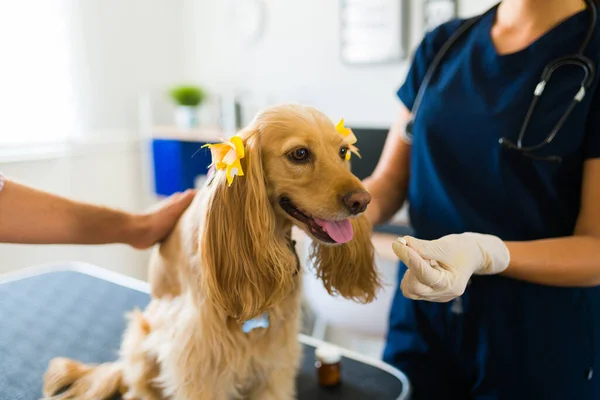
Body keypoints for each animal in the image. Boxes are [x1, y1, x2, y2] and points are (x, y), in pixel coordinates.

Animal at [42, 104, 380, 400]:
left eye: (343, 151)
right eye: (299, 154)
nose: (362, 201)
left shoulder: (276, 356)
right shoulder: (198, 359)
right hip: (143, 337)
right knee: (137, 388)